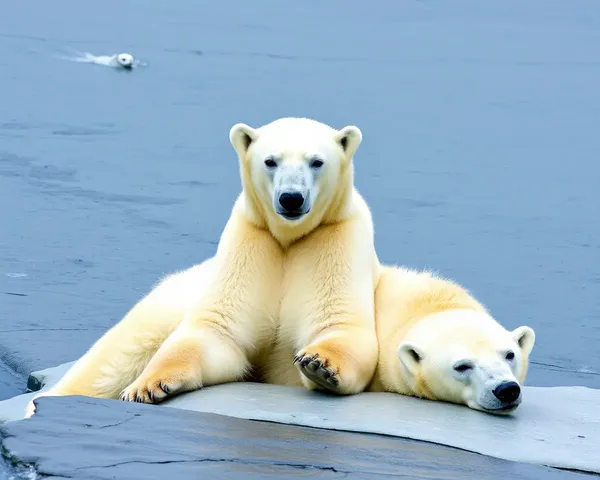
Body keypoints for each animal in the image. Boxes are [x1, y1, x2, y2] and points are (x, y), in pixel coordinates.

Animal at [27, 117, 380, 416]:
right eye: (271, 161)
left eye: (316, 161)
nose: (291, 198)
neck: (288, 239)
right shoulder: (251, 242)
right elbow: (215, 331)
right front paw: (147, 387)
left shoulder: (334, 240)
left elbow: (340, 323)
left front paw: (320, 365)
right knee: (115, 358)